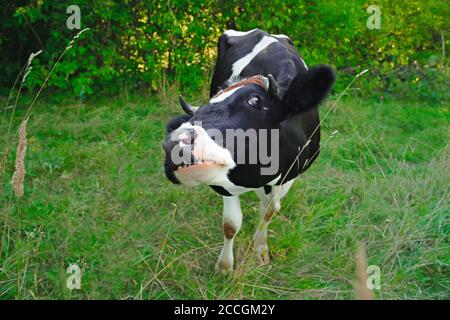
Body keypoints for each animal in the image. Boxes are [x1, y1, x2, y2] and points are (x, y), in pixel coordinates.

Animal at [162, 28, 334, 272]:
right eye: (207, 104)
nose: (175, 142)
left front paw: (261, 249)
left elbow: (269, 210)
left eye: (254, 101)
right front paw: (224, 267)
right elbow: (231, 224)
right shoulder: (223, 181)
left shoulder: (291, 174)